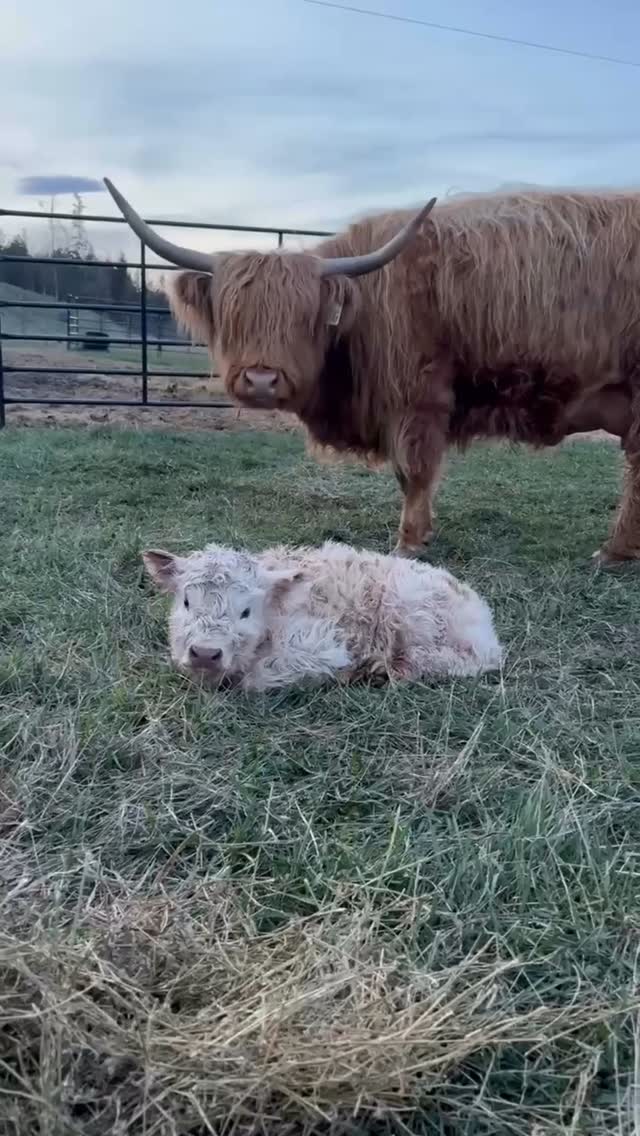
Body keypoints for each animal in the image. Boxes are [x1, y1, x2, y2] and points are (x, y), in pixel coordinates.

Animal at [105, 178, 640, 564]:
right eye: (234, 314)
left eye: (305, 316)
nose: (260, 380)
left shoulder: (417, 400)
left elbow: (414, 473)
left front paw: (410, 542)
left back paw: (613, 553)